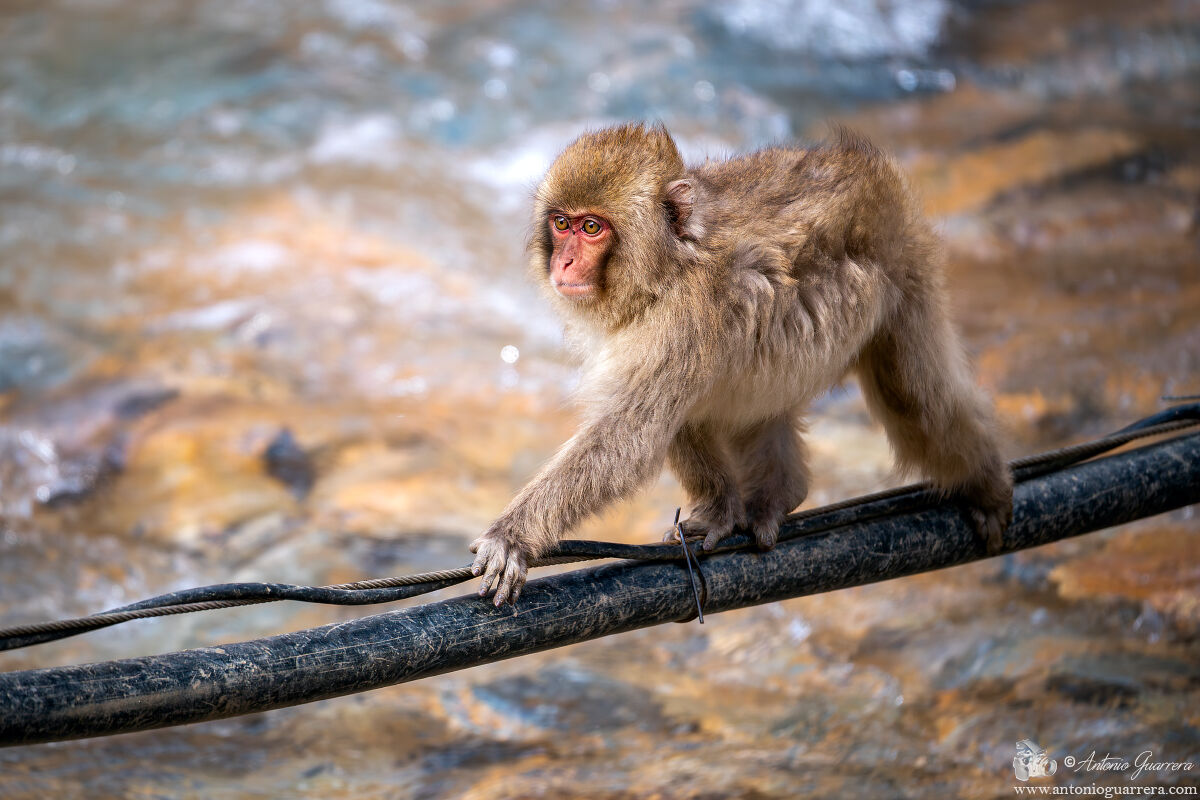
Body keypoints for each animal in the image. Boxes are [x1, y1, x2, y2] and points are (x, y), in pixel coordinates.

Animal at [470, 123, 1012, 606]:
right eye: (561, 224)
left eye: (591, 228)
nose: (562, 263)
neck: (669, 266)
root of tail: (867, 166)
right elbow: (668, 419)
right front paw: (720, 511)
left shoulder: (683, 319)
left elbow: (630, 437)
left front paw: (512, 537)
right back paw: (779, 494)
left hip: (906, 262)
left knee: (916, 402)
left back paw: (984, 481)